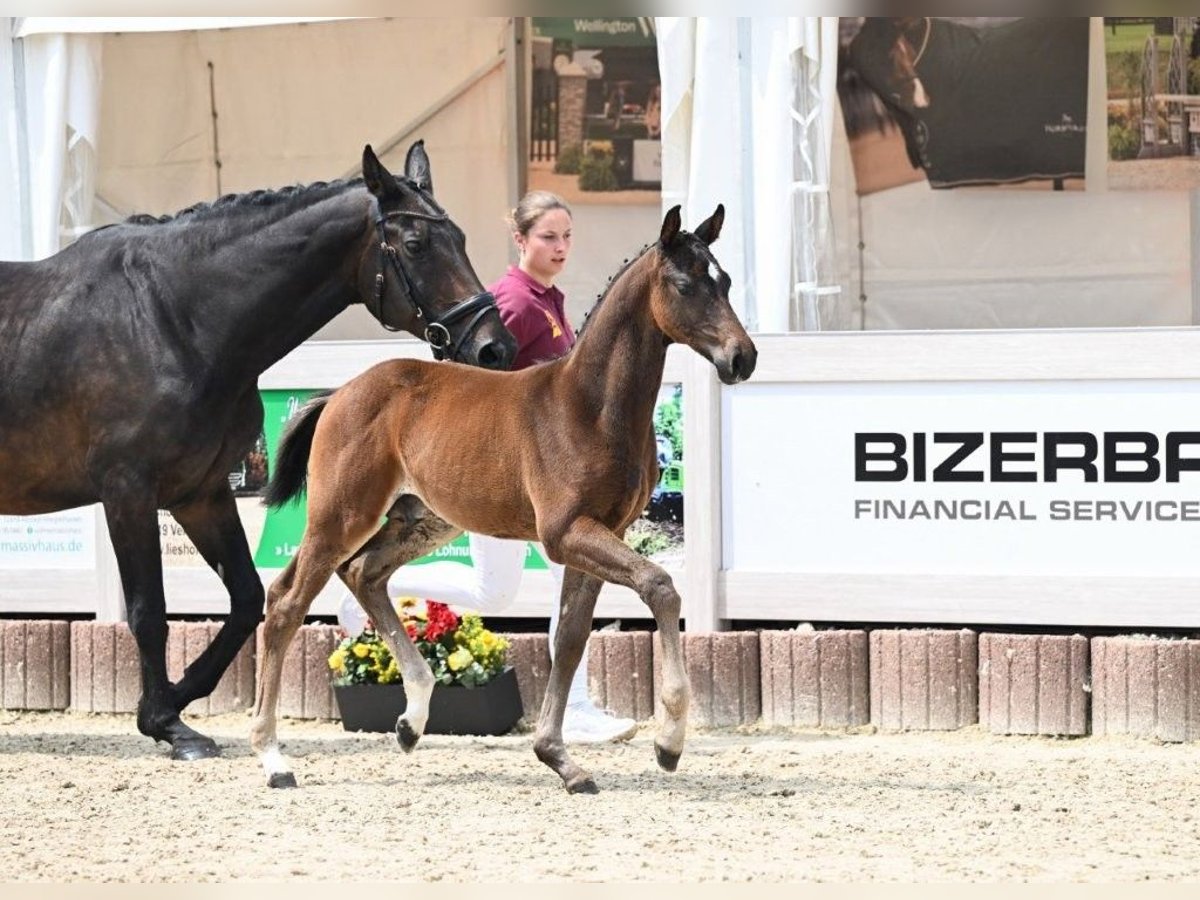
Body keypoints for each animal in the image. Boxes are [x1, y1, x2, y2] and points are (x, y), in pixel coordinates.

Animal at [0, 141, 517, 761]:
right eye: (416, 244)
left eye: (459, 237)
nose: (494, 348)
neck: (169, 319)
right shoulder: (128, 492)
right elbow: (149, 612)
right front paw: (168, 722)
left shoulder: (200, 493)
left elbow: (247, 598)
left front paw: (170, 706)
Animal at [252, 203, 757, 793]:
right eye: (683, 284)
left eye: (724, 281)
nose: (742, 357)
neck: (588, 407)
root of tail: (340, 394)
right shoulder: (566, 533)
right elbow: (660, 587)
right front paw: (668, 742)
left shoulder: (600, 532)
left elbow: (570, 639)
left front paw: (560, 758)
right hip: (341, 515)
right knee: (286, 602)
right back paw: (273, 757)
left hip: (421, 520)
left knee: (363, 573)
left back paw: (411, 719)